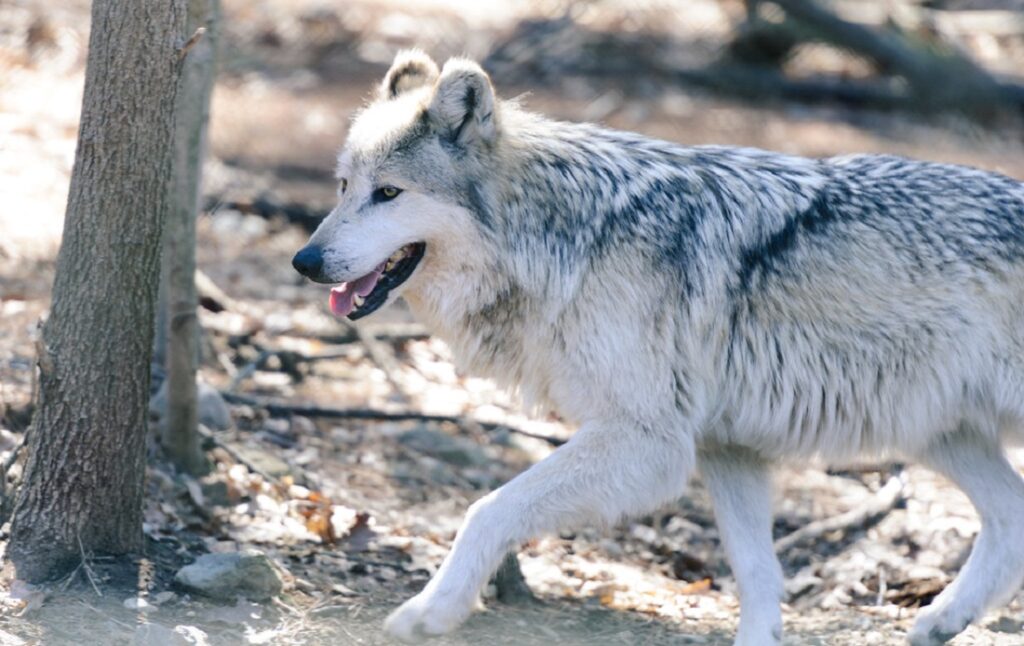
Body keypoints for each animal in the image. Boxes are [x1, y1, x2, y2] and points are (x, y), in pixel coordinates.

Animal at [290, 48, 1024, 642]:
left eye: (389, 193)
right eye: (343, 187)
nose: (305, 260)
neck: (566, 240)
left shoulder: (650, 442)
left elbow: (488, 508)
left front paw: (431, 612)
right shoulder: (726, 447)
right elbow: (758, 577)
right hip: (939, 433)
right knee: (1010, 518)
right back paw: (940, 622)